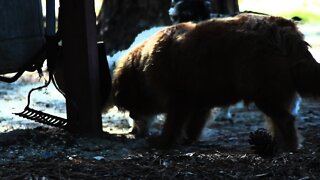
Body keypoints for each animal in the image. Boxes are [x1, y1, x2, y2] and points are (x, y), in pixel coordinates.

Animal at [110, 14, 318, 151]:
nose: (131, 114)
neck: (142, 66)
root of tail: (285, 30)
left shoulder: (178, 99)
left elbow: (173, 124)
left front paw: (164, 142)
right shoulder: (199, 99)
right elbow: (194, 124)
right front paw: (188, 139)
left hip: (264, 92)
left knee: (286, 119)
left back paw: (288, 146)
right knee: (279, 120)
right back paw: (276, 143)